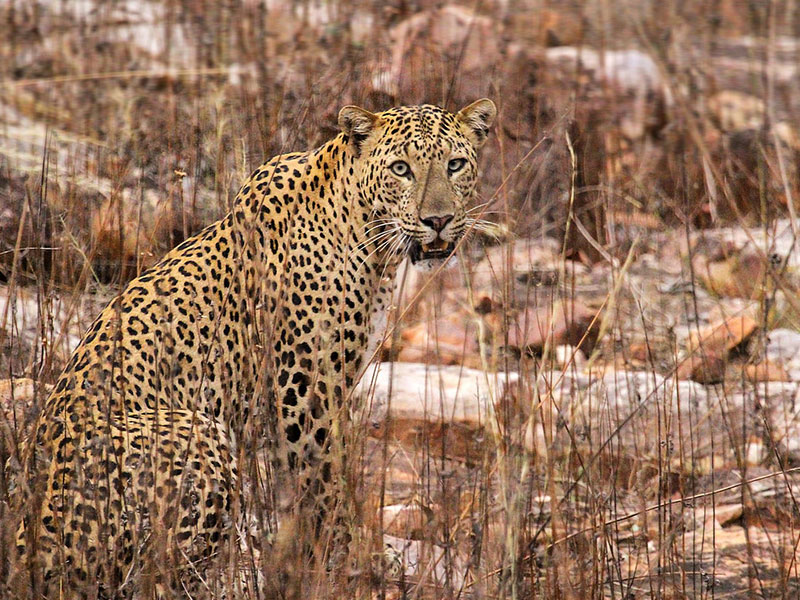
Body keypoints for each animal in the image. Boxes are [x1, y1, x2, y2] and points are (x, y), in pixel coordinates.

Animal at [7, 96, 494, 596]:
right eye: (401, 168)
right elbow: (324, 488)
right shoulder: (304, 396)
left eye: (455, 165)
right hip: (199, 432)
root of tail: (25, 551)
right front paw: (342, 563)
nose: (438, 221)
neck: (370, 240)